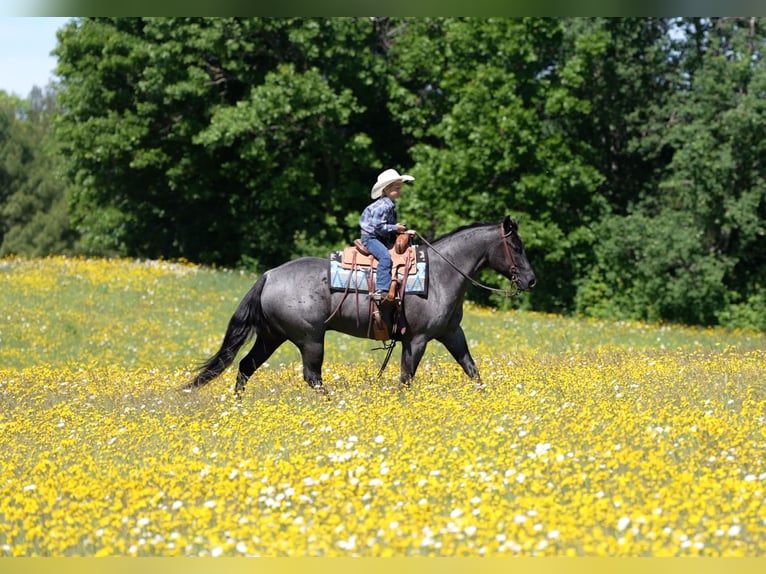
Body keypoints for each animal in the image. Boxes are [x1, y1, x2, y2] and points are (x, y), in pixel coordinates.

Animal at [183, 216, 536, 396]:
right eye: (517, 247)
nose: (531, 280)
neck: (440, 273)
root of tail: (269, 275)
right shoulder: (417, 339)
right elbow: (406, 378)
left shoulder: (451, 333)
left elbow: (472, 370)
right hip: (310, 339)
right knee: (312, 376)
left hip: (272, 336)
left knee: (246, 366)